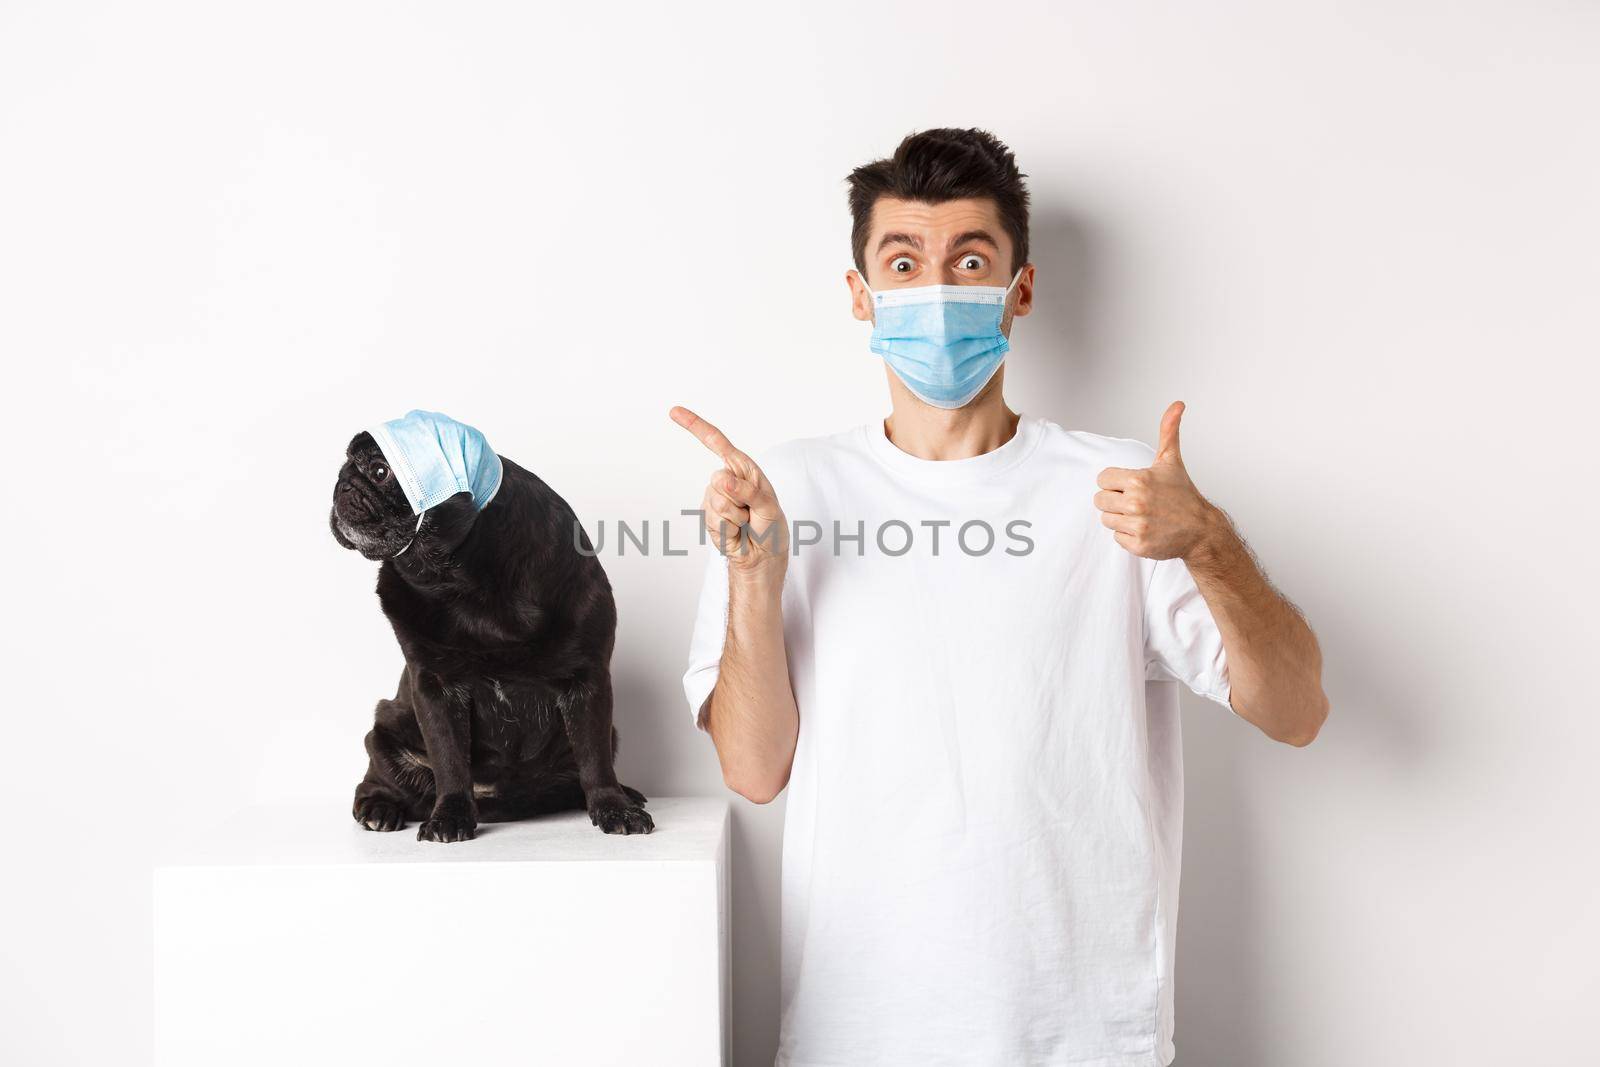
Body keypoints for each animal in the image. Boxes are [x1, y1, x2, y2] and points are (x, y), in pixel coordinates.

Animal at [328, 428, 652, 844]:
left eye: (381, 471)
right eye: (345, 466)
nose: (342, 483)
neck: (461, 581)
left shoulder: (588, 681)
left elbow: (594, 758)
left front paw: (613, 807)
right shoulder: (436, 689)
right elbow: (449, 758)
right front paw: (450, 816)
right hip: (382, 735)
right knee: (375, 782)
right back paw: (379, 809)